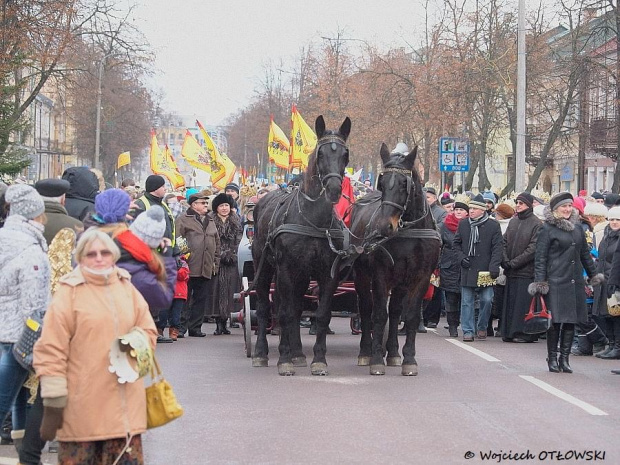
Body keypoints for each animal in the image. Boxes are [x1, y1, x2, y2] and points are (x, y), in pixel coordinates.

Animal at [251, 114, 348, 376]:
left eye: (345, 154)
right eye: (321, 153)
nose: (334, 190)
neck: (312, 220)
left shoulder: (327, 273)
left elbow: (321, 314)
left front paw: (318, 360)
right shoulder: (285, 269)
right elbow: (283, 312)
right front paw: (283, 360)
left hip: (302, 274)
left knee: (294, 307)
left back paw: (297, 353)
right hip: (264, 267)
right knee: (265, 306)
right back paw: (262, 353)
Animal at [348, 143, 440, 376]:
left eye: (403, 184)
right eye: (382, 182)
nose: (384, 226)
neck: (409, 232)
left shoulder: (420, 277)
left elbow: (410, 316)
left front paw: (408, 359)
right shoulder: (381, 275)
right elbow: (380, 314)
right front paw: (376, 359)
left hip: (400, 282)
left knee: (396, 311)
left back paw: (394, 353)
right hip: (362, 276)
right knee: (366, 309)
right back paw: (366, 351)